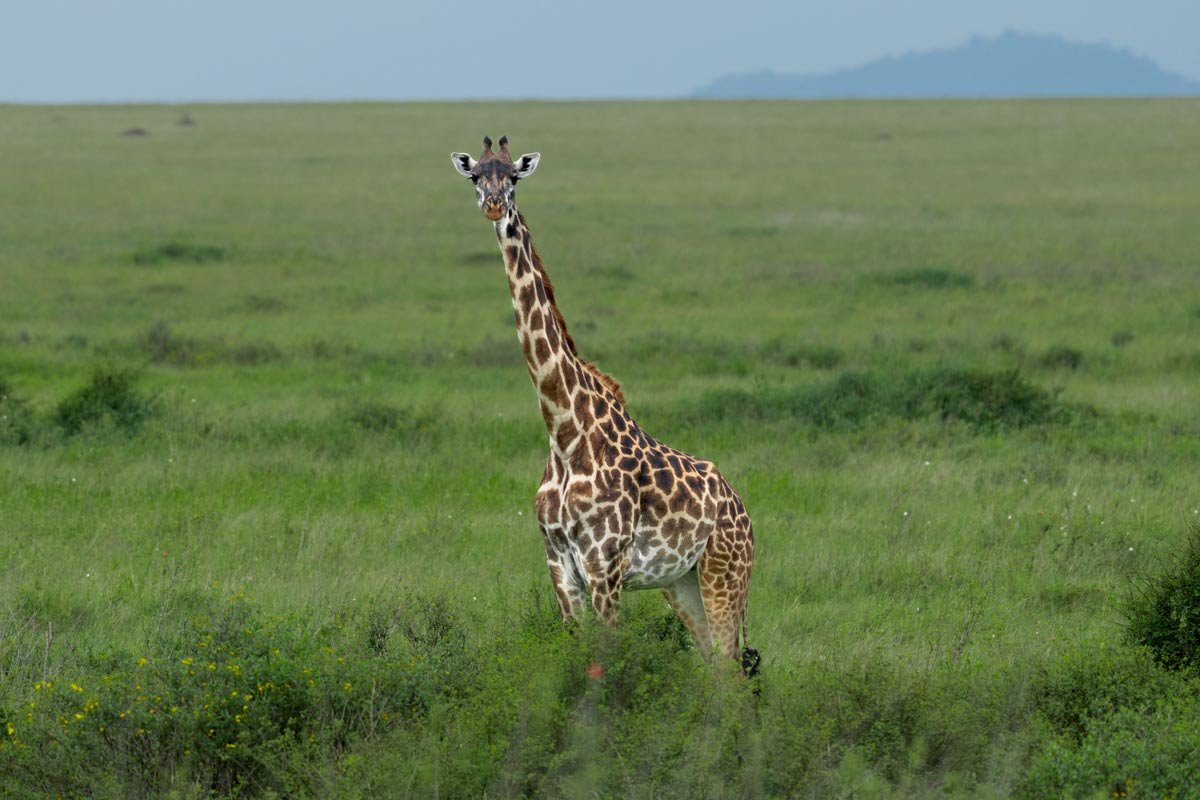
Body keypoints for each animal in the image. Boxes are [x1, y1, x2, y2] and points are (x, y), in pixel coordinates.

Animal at [450, 136, 757, 670]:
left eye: (513, 177)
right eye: (476, 176)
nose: (493, 207)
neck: (564, 431)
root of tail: (744, 513)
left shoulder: (604, 564)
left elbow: (607, 664)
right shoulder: (559, 563)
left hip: (726, 574)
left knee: (731, 670)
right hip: (681, 584)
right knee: (717, 670)